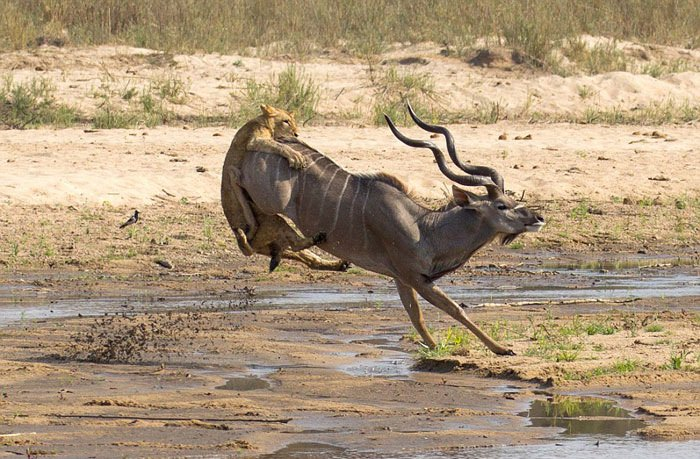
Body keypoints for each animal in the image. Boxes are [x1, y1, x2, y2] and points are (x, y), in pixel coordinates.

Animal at [241, 104, 548, 356]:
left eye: (512, 200)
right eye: (500, 205)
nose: (537, 217)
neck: (425, 228)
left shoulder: (401, 278)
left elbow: (417, 317)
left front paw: (435, 348)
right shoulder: (415, 277)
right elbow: (454, 308)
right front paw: (501, 349)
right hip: (267, 198)